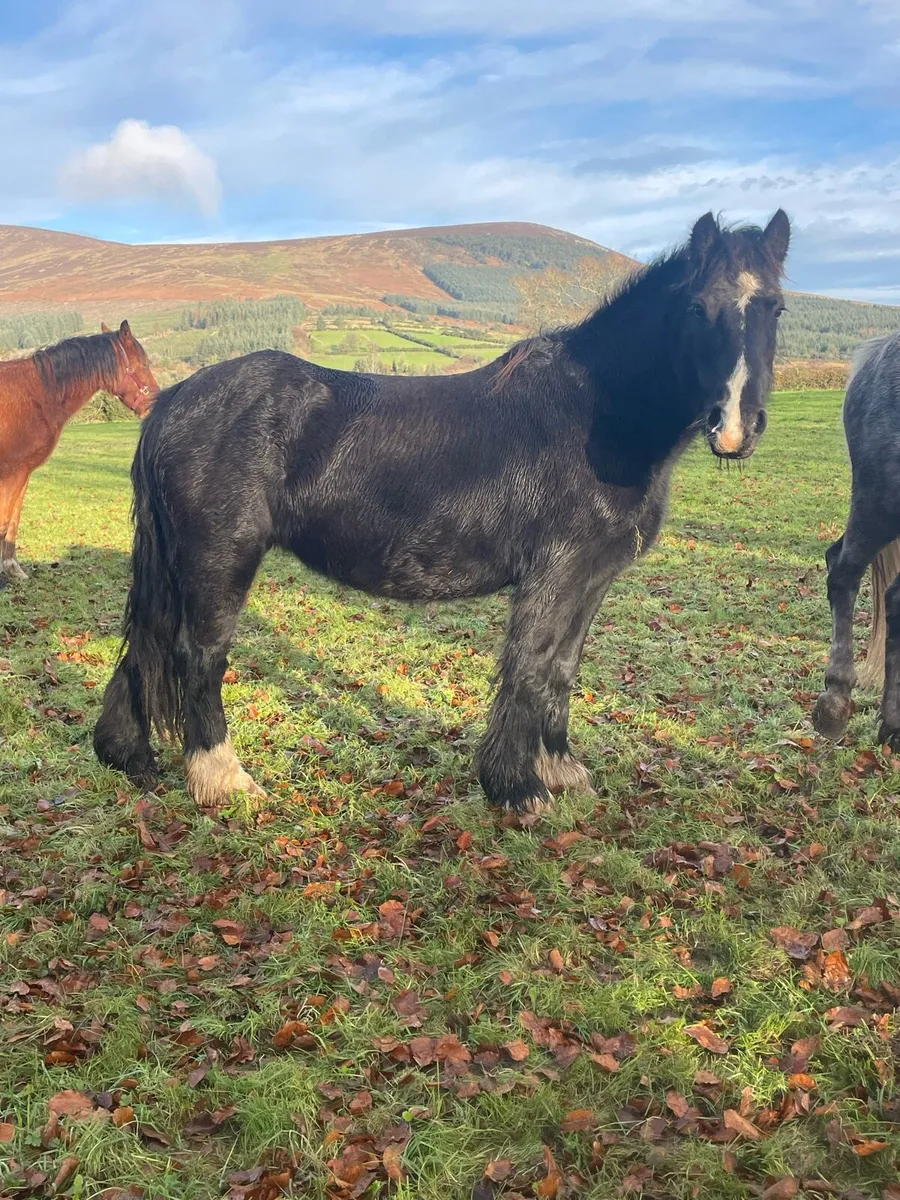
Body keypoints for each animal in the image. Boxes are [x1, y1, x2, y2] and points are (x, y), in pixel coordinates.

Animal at [0, 320, 159, 582]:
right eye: (143, 363)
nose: (153, 404)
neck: (38, 394)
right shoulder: (12, 472)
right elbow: (4, 519)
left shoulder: (23, 473)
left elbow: (13, 518)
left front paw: (12, 567)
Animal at [94, 209, 790, 815]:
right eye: (698, 309)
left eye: (776, 307)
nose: (735, 428)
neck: (600, 413)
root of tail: (172, 402)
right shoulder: (556, 572)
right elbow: (530, 668)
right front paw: (517, 788)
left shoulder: (592, 578)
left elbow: (563, 669)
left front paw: (561, 770)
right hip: (220, 560)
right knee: (199, 655)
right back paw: (223, 779)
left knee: (149, 643)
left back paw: (128, 755)